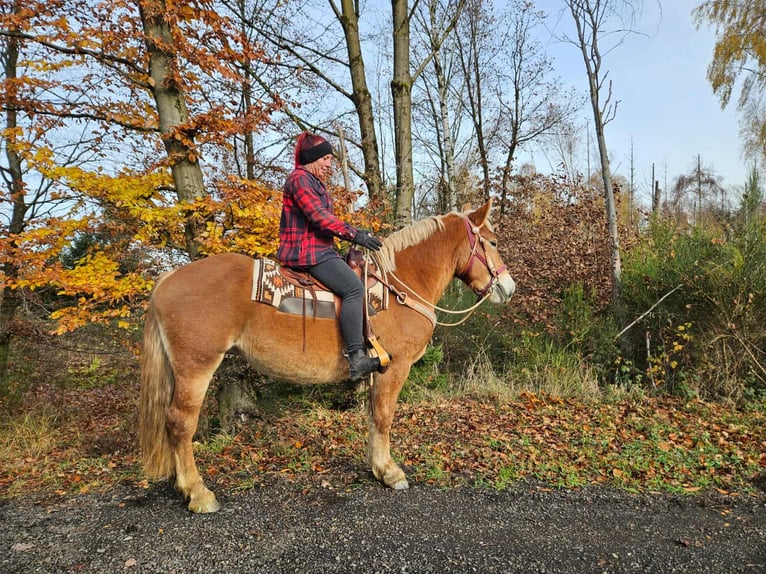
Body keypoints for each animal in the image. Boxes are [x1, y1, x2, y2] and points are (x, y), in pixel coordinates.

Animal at [139, 199, 515, 513]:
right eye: (494, 242)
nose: (508, 287)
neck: (401, 284)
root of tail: (168, 277)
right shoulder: (396, 367)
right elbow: (384, 416)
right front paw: (390, 472)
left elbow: (373, 415)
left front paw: (376, 466)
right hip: (196, 366)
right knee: (180, 423)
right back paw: (199, 493)